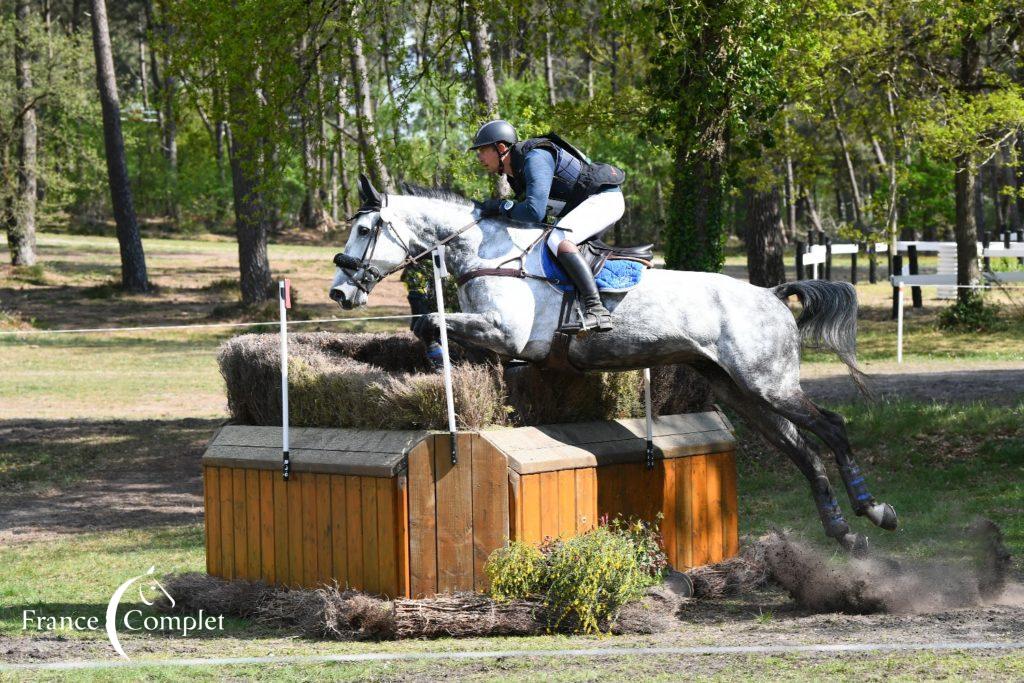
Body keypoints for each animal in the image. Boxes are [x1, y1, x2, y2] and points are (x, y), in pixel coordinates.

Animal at [329, 176, 897, 557]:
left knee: (832, 427)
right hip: (741, 391)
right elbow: (435, 326)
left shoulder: (504, 331)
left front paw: (435, 361)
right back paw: (843, 531)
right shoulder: (496, 337)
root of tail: (772, 294)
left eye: (365, 228)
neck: (486, 251)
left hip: (768, 382)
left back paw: (875, 510)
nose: (339, 291)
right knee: (802, 450)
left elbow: (430, 320)